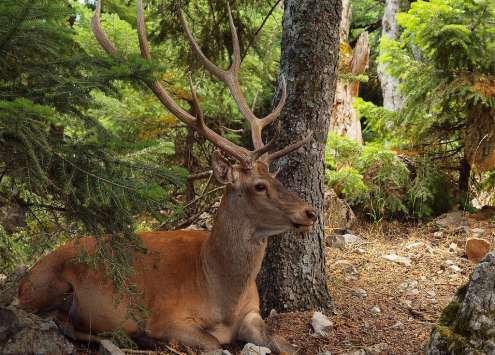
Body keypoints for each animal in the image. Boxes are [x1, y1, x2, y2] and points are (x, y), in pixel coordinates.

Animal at [17, 1, 318, 354]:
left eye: (276, 178)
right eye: (259, 186)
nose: (310, 212)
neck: (221, 296)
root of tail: (23, 279)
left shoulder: (253, 313)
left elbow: (283, 342)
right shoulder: (169, 317)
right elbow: (214, 345)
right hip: (49, 286)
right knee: (54, 319)